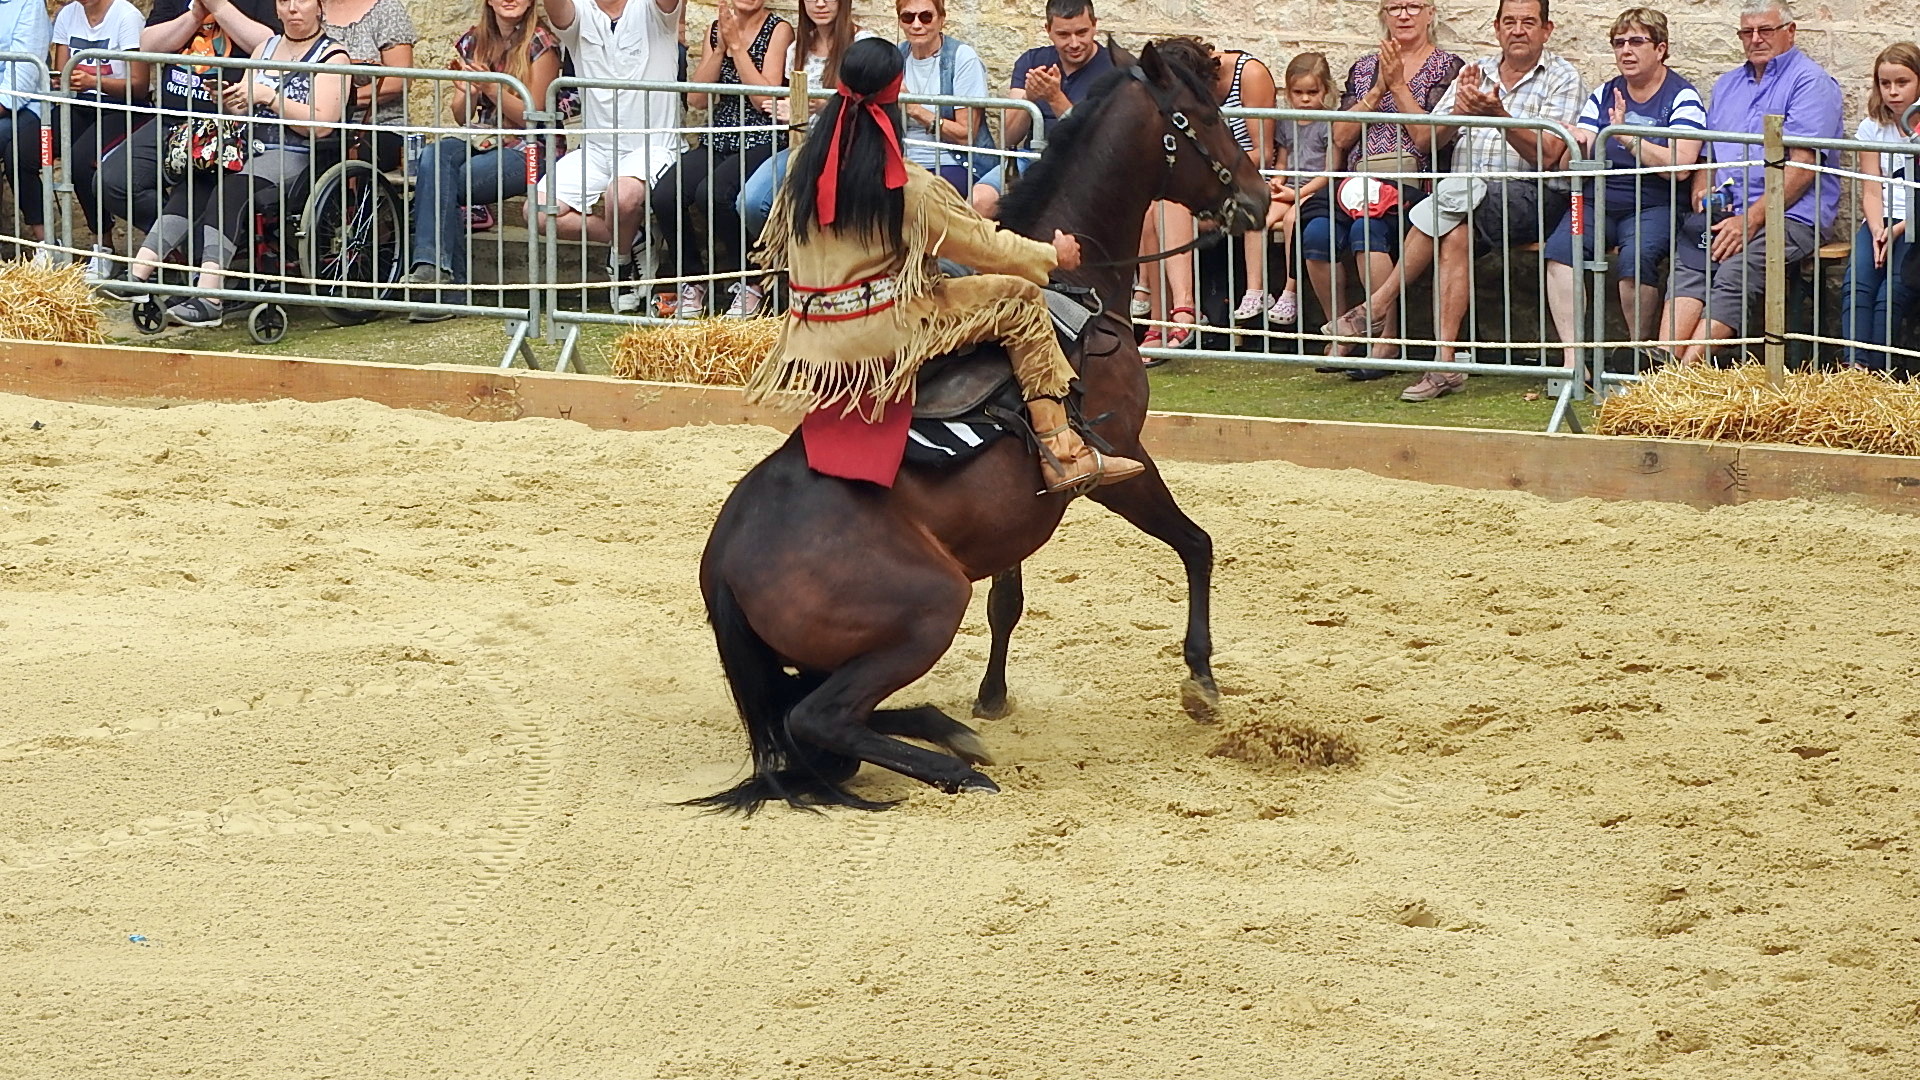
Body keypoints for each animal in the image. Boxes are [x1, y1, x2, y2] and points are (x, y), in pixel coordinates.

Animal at [693, 40, 1270, 811]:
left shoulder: (1016, 517)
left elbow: (1008, 600)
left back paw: (946, 730)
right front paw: (1201, 679)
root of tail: (724, 562)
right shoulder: (1121, 462)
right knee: (818, 719)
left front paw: (991, 694)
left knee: (806, 721)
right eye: (1196, 115)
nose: (1260, 199)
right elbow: (1196, 544)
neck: (1077, 298)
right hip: (931, 606)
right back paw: (958, 766)